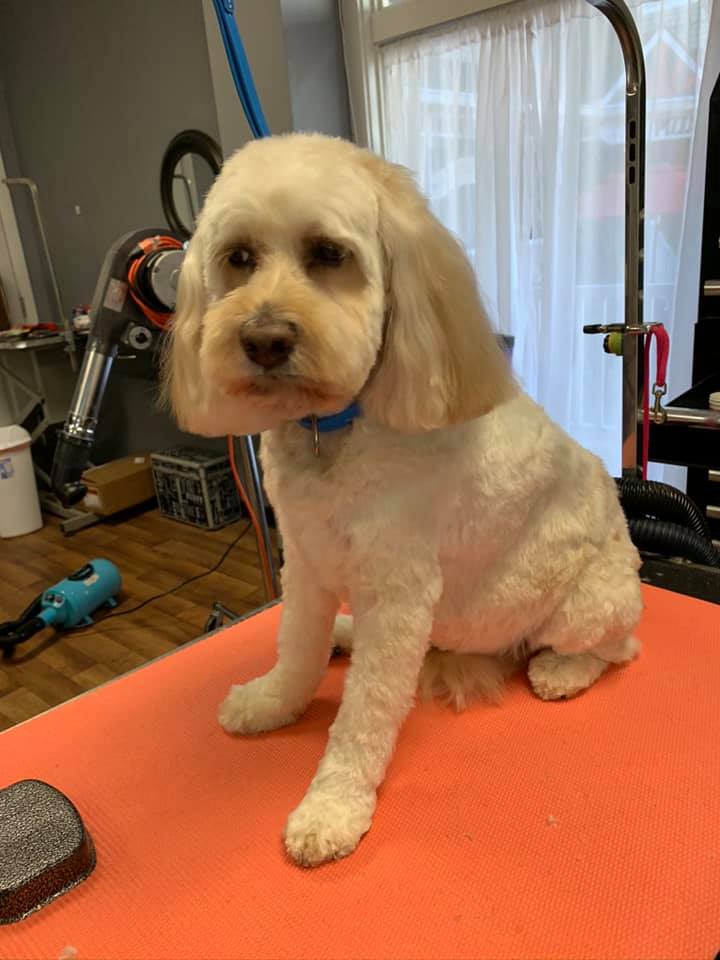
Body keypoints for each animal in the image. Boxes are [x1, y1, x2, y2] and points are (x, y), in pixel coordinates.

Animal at [163, 133, 643, 867]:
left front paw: (332, 806)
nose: (265, 339)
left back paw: (562, 669)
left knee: (614, 649)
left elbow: (363, 716)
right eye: (239, 258)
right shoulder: (304, 562)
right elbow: (295, 650)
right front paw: (273, 702)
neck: (334, 429)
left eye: (329, 254)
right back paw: (344, 634)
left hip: (590, 603)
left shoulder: (399, 592)